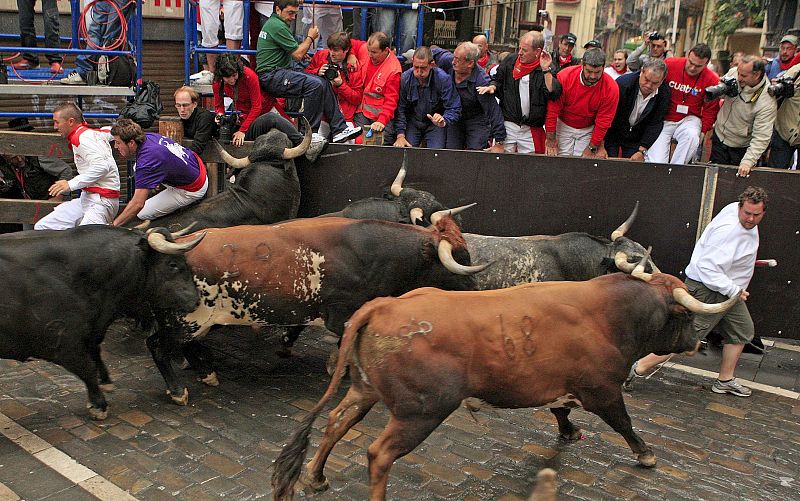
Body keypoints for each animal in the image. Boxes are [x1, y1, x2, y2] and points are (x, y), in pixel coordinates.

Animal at [0, 227, 203, 418]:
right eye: (173, 264)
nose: (195, 300)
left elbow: (95, 352)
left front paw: (105, 381)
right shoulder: (62, 342)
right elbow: (87, 368)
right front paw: (99, 405)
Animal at [149, 217, 488, 404]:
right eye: (460, 259)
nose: (476, 291)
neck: (375, 253)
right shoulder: (342, 313)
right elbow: (345, 341)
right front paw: (335, 365)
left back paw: (207, 373)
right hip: (186, 319)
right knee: (158, 346)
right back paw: (178, 390)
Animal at [272, 264, 736, 498]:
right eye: (686, 315)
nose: (696, 341)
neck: (606, 315)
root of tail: (384, 305)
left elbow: (560, 410)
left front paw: (569, 433)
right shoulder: (603, 390)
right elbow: (624, 423)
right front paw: (646, 455)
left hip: (364, 389)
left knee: (336, 423)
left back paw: (315, 476)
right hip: (419, 413)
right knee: (378, 454)